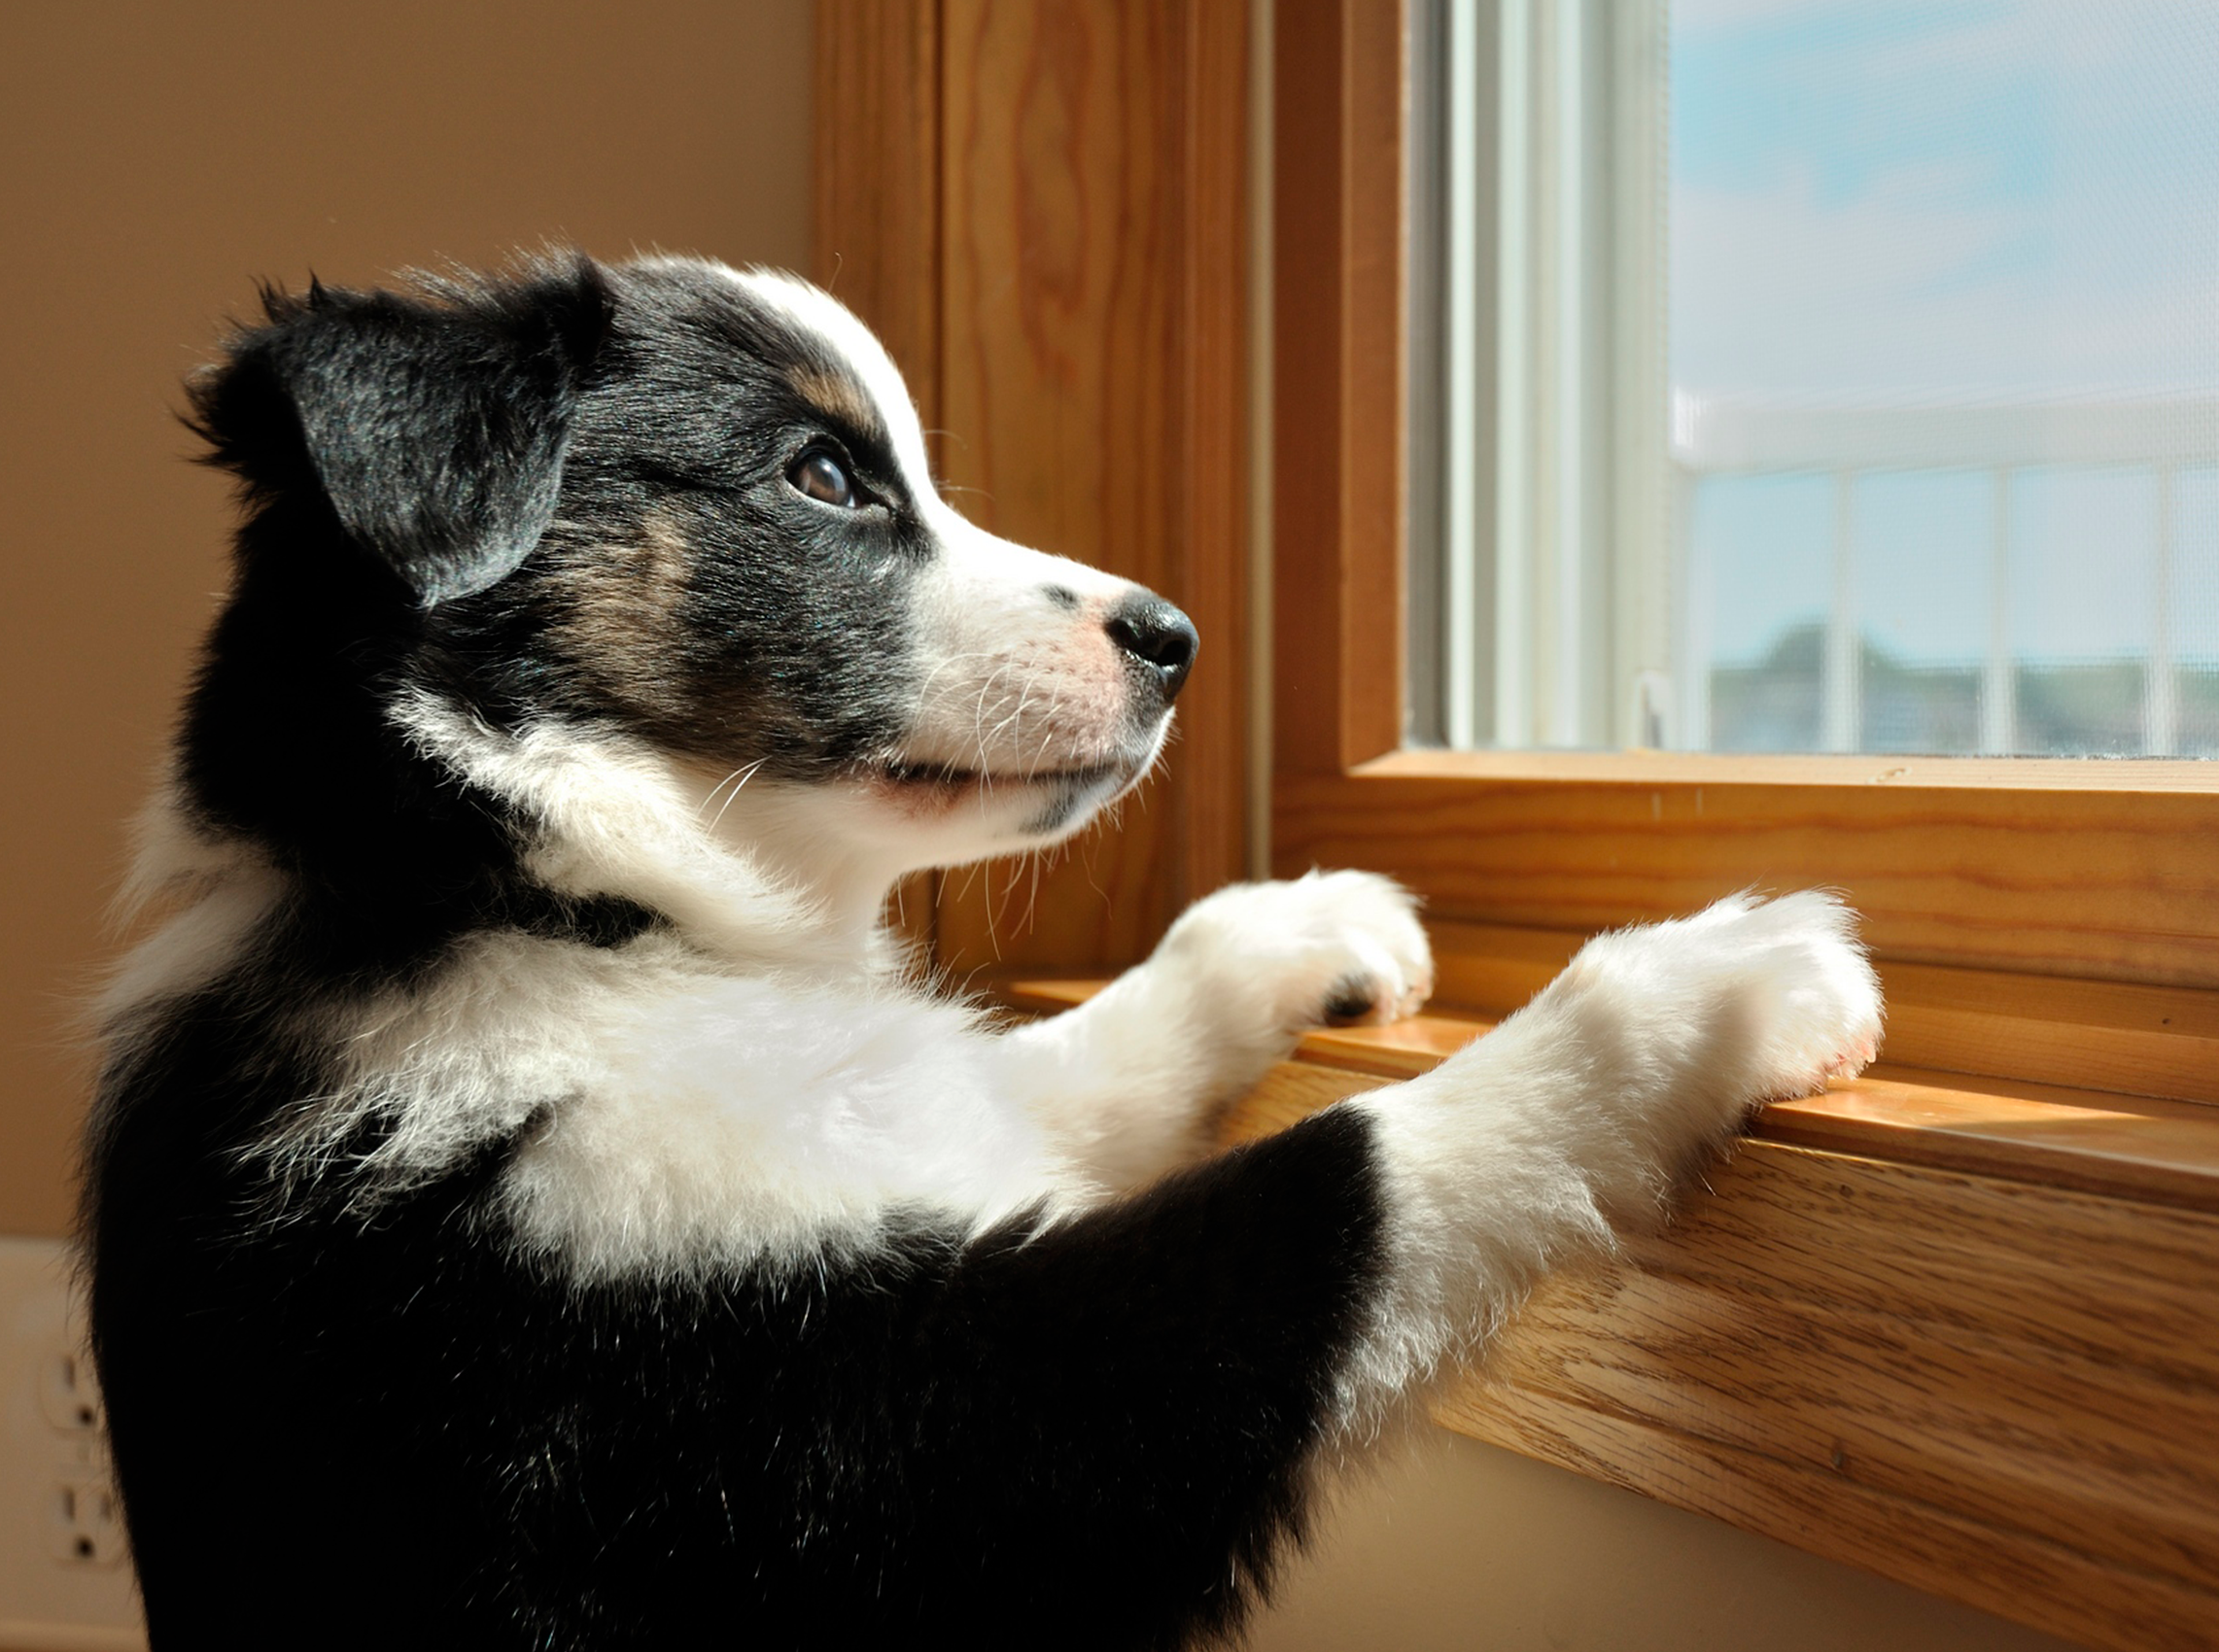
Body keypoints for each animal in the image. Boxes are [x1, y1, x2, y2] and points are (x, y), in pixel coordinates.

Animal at [95, 248, 1881, 1649]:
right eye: (823, 478)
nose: (1174, 641)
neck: (575, 907)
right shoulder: (861, 1448)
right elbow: (1345, 1176)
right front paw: (1703, 989)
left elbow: (1081, 1059)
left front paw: (1307, 922)